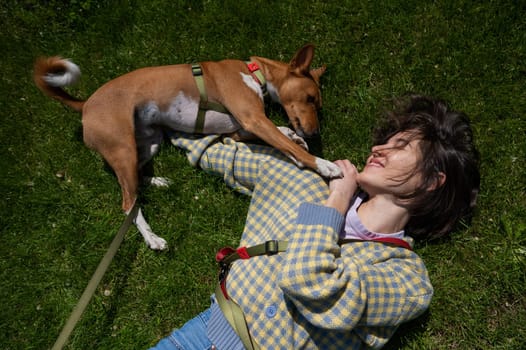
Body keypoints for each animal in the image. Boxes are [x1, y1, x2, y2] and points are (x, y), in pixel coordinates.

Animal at [34, 45, 342, 250]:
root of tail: (84, 104)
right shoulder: (252, 120)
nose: (314, 132)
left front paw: (296, 137)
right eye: (311, 98)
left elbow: (283, 134)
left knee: (137, 180)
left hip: (149, 142)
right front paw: (324, 164)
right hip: (122, 149)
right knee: (128, 203)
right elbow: (289, 146)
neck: (254, 73)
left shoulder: (239, 129)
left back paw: (157, 181)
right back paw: (152, 238)